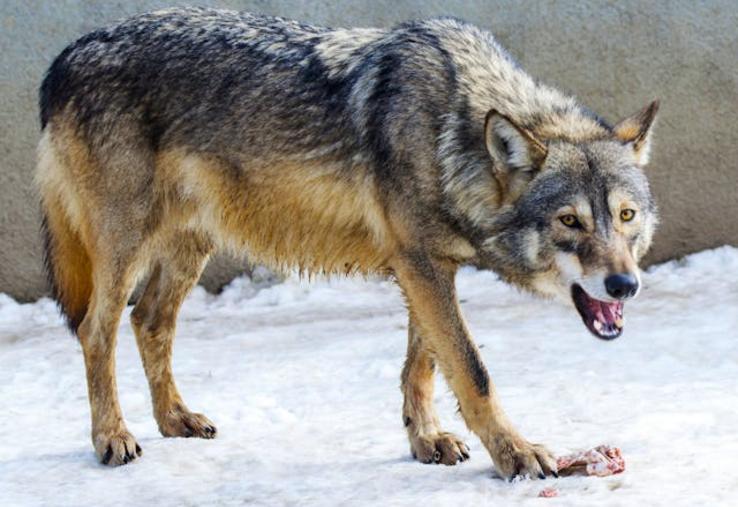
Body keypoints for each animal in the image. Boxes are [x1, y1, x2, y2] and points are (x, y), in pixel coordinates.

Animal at [36, 7, 659, 478]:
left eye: (626, 216)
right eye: (570, 221)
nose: (624, 285)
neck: (449, 132)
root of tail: (62, 58)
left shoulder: (426, 266)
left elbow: (424, 365)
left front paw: (426, 441)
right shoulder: (420, 265)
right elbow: (472, 371)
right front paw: (517, 454)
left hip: (190, 247)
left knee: (149, 322)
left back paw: (175, 420)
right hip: (125, 248)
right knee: (97, 330)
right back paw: (112, 436)